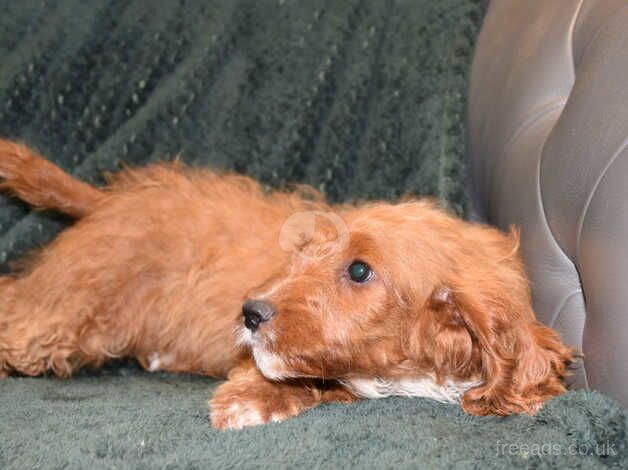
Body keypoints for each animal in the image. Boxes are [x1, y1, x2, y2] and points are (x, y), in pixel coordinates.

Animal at [0, 140, 572, 430]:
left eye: (359, 270)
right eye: (309, 253)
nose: (249, 312)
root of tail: (113, 200)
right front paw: (252, 398)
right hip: (67, 311)